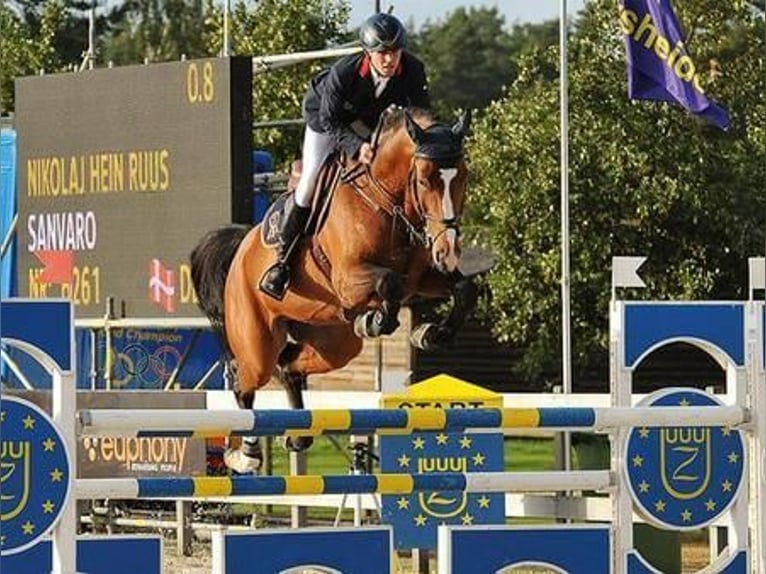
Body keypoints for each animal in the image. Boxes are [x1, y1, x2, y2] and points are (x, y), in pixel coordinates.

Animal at [191, 106, 476, 474]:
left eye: (463, 177)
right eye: (425, 179)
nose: (448, 252)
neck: (385, 201)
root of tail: (242, 245)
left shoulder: (424, 278)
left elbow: (464, 289)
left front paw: (430, 333)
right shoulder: (348, 280)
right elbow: (389, 282)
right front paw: (375, 321)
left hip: (332, 342)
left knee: (288, 365)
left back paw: (298, 437)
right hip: (256, 338)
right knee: (246, 380)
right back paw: (243, 455)